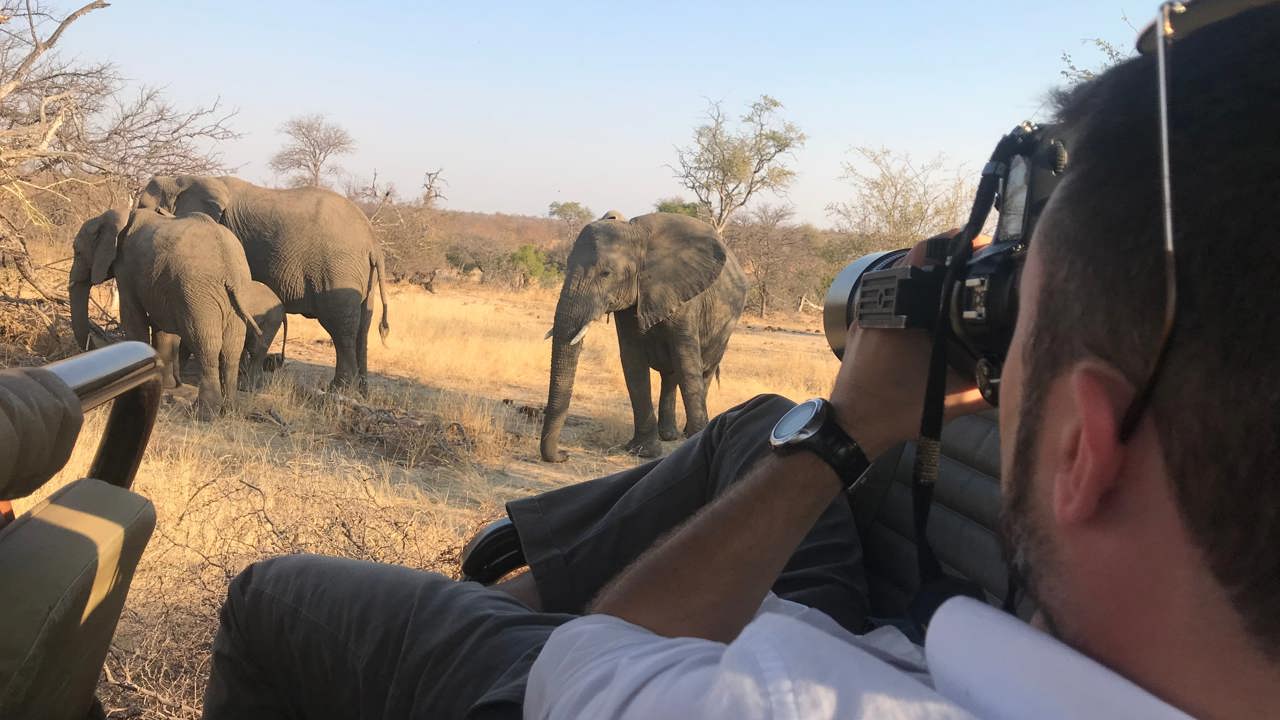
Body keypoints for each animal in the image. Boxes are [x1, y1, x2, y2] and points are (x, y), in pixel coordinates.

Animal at [69, 208, 262, 420]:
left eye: (77, 252)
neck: (121, 215)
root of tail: (229, 265)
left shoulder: (127, 268)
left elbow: (133, 318)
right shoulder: (161, 285)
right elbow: (163, 326)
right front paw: (166, 384)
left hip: (198, 294)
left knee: (206, 346)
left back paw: (202, 413)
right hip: (236, 294)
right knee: (231, 350)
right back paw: (230, 411)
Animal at [136, 175, 389, 392]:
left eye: (144, 206)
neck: (186, 179)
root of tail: (373, 240)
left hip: (338, 269)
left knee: (341, 327)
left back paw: (339, 389)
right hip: (361, 274)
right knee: (362, 326)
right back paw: (361, 391)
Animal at [540, 211, 748, 462]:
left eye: (606, 273)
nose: (564, 454)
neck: (638, 236)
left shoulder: (685, 297)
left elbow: (687, 363)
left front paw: (693, 444)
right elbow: (633, 362)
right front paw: (643, 452)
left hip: (726, 326)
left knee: (703, 371)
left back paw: (686, 433)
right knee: (671, 376)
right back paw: (668, 435)